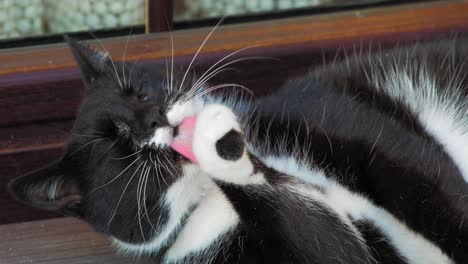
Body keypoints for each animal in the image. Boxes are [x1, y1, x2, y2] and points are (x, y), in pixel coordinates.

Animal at [8, 35, 468, 264]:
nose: (156, 117)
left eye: (138, 91)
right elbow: (335, 248)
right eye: (117, 144)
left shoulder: (348, 122)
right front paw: (215, 145)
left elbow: (430, 190)